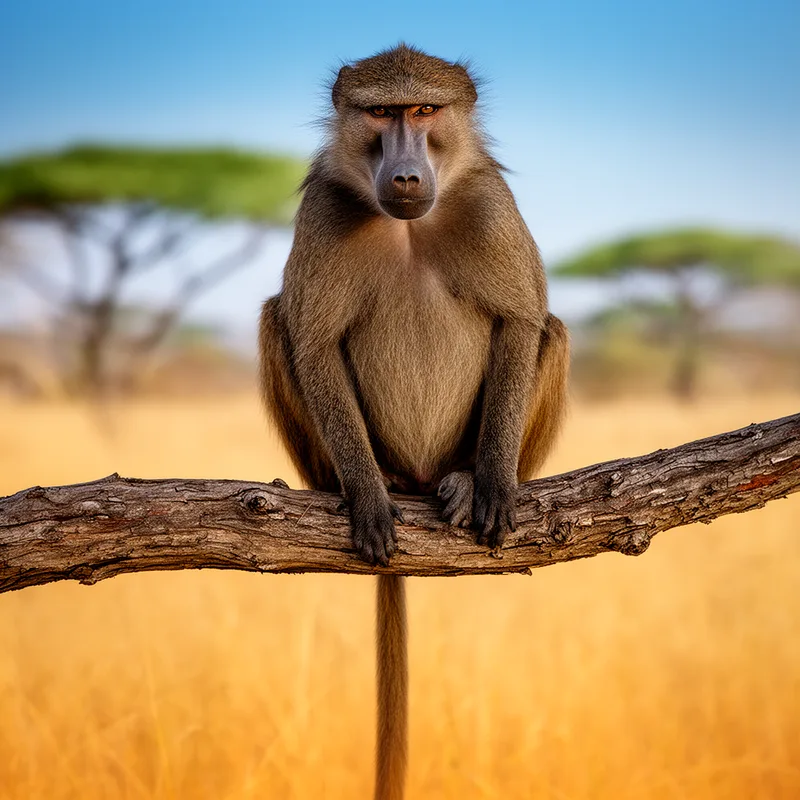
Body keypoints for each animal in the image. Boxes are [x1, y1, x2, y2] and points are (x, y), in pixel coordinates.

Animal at [259, 44, 569, 800]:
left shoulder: (491, 207)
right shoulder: (323, 210)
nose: (404, 173)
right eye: (380, 113)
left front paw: (492, 483)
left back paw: (458, 478)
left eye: (425, 111)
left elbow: (521, 322)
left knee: (553, 330)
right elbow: (312, 343)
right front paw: (368, 498)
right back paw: (374, 482)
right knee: (276, 319)